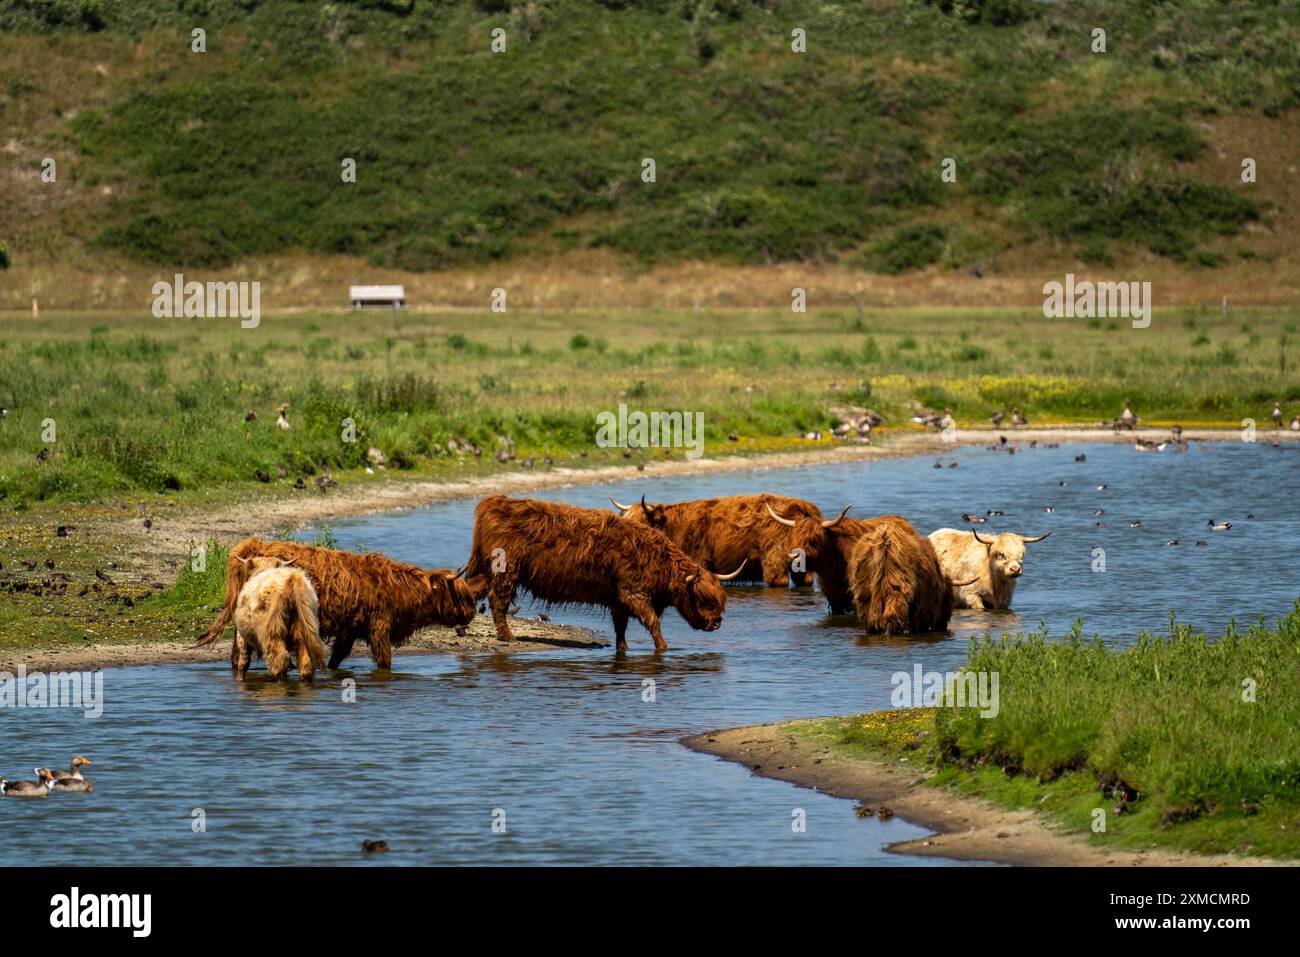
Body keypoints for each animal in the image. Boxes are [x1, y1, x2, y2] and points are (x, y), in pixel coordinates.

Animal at [197, 540, 473, 670]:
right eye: (461, 596)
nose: (470, 614)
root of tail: (254, 546)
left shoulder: (351, 628)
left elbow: (337, 656)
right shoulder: (379, 626)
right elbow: (384, 660)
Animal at [462, 494, 743, 650]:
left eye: (720, 601)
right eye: (704, 599)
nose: (716, 623)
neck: (659, 561)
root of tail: (493, 502)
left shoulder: (619, 601)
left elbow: (621, 628)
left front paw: (623, 649)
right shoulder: (633, 594)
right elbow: (653, 623)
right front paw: (663, 648)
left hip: (488, 570)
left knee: (472, 589)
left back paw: (462, 628)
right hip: (506, 572)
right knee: (498, 601)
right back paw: (508, 636)